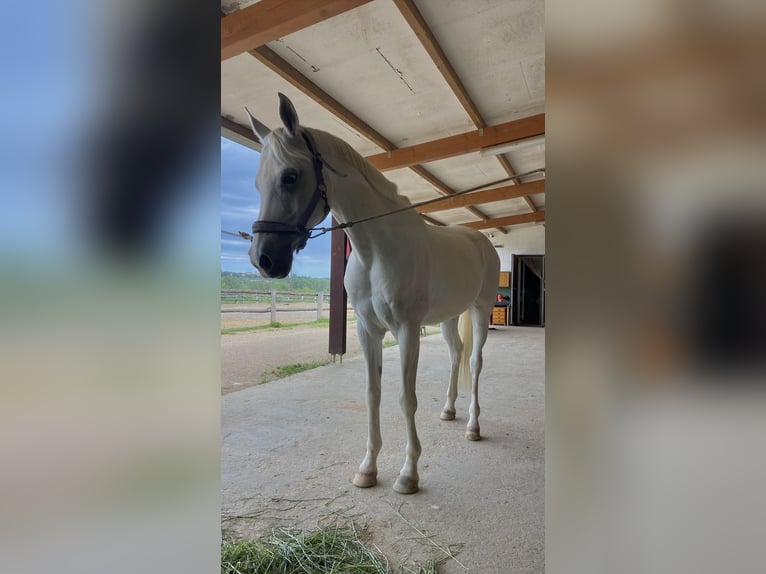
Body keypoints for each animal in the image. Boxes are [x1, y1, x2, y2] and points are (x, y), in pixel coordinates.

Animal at [243, 94, 500, 496]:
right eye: (257, 182)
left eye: (290, 176)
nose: (264, 259)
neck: (376, 251)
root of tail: (481, 241)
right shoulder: (368, 330)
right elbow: (372, 393)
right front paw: (368, 468)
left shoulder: (407, 330)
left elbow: (406, 399)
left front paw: (408, 474)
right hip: (448, 317)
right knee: (456, 355)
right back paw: (448, 411)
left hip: (480, 309)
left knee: (474, 363)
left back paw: (473, 426)